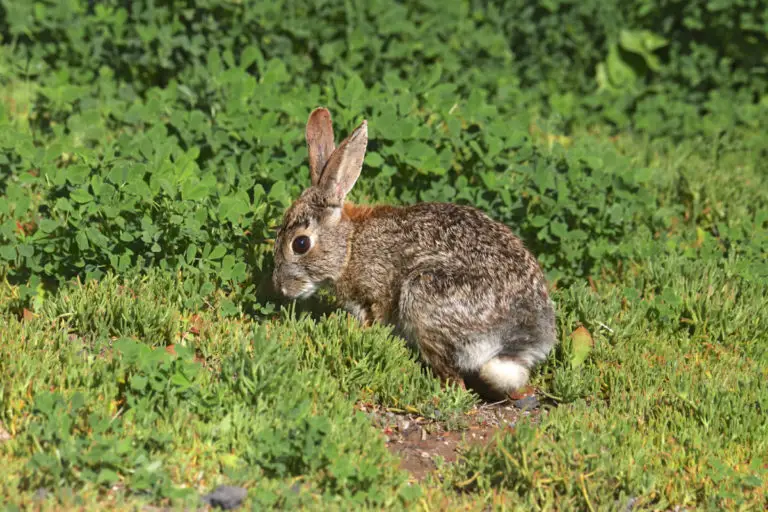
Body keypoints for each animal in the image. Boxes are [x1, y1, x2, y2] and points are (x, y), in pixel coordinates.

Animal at [272, 107, 557, 400]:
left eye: (300, 244)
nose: (280, 287)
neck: (350, 246)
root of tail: (518, 333)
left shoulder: (376, 293)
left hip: (423, 297)